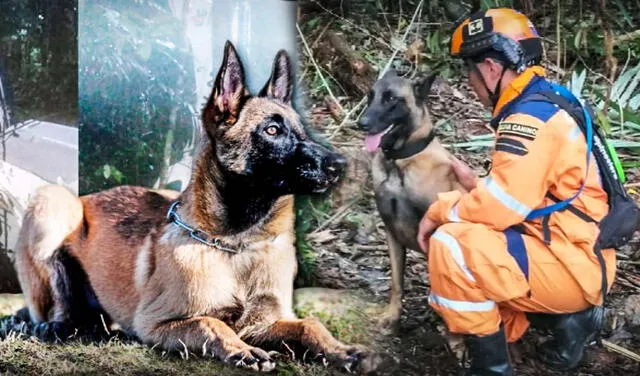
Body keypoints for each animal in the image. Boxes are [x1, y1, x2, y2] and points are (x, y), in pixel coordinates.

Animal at [11, 41, 376, 374]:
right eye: (272, 130)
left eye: (302, 130)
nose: (339, 165)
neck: (237, 246)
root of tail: (88, 196)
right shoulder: (156, 324)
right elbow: (210, 323)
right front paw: (241, 349)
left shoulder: (264, 322)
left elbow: (309, 323)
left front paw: (341, 350)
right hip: (55, 204)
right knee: (57, 306)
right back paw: (54, 326)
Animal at [358, 70, 468, 328]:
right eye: (370, 96)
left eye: (391, 99)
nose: (361, 124)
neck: (399, 161)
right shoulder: (392, 233)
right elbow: (396, 282)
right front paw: (392, 315)